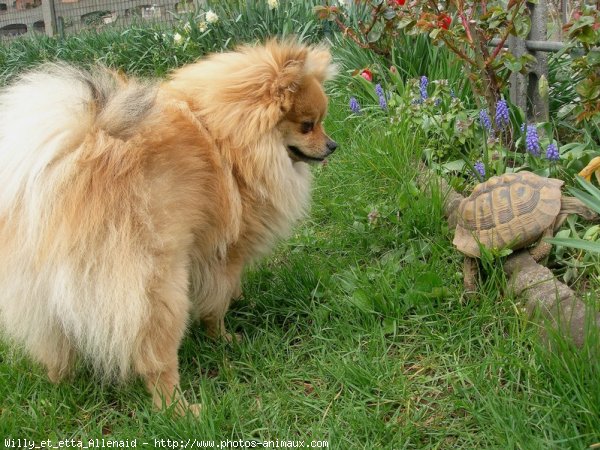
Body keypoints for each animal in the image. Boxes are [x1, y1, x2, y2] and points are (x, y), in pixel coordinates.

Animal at [0, 40, 338, 414]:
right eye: (308, 125)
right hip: (159, 288)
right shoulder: (224, 252)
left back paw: (60, 391)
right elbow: (217, 302)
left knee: (55, 349)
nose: (332, 145)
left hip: (47, 297)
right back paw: (181, 410)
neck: (224, 133)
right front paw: (224, 337)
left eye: (320, 122)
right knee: (155, 359)